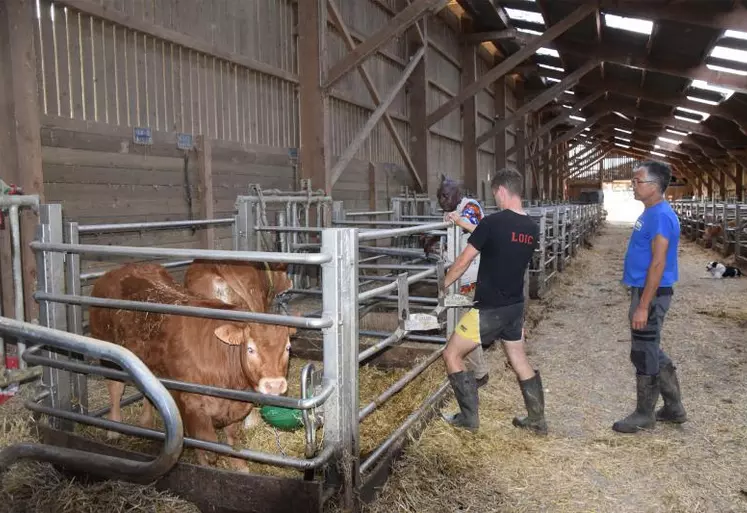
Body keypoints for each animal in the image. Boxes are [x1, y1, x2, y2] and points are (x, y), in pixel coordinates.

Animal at [89, 262, 294, 470]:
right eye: (250, 349)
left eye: (287, 348)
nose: (275, 385)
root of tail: (119, 270)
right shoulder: (192, 406)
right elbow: (206, 446)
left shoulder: (234, 407)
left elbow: (233, 439)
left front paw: (241, 467)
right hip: (108, 351)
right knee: (115, 387)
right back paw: (114, 430)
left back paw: (146, 422)